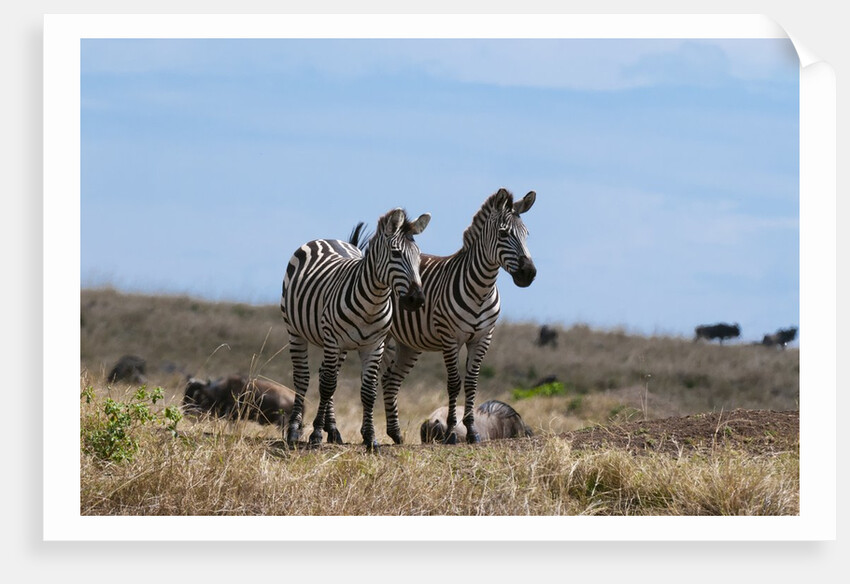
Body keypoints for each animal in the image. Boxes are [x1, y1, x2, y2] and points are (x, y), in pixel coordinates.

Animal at [280, 207, 430, 451]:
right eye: (396, 254)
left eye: (419, 256)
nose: (416, 299)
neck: (373, 303)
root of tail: (328, 239)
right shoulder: (333, 340)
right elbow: (328, 386)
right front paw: (315, 435)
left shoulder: (375, 345)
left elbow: (368, 392)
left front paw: (370, 439)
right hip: (296, 331)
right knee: (304, 378)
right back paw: (294, 430)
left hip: (340, 346)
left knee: (326, 374)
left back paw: (333, 430)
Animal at [351, 188, 537, 444]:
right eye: (503, 233)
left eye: (527, 234)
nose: (529, 273)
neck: (482, 289)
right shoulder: (451, 338)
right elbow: (454, 383)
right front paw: (451, 432)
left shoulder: (483, 338)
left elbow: (471, 382)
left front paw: (472, 431)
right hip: (381, 337)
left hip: (409, 344)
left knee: (390, 381)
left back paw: (396, 434)